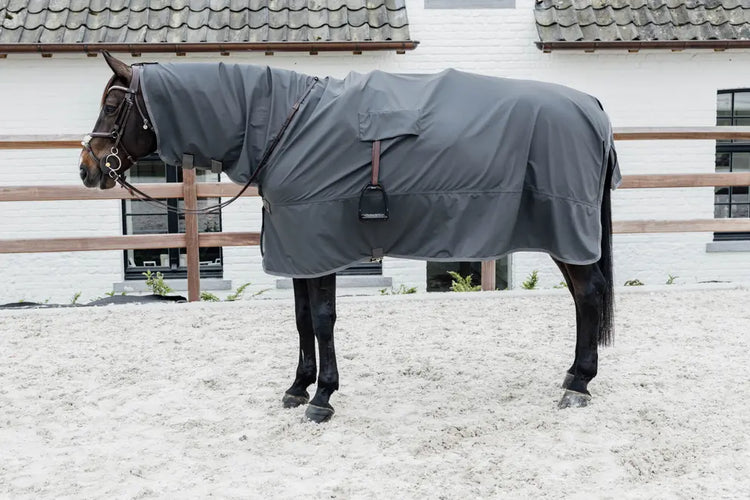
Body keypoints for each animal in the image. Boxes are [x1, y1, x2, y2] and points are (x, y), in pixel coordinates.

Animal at [79, 52, 620, 422]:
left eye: (112, 105)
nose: (87, 169)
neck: (286, 128)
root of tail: (593, 107)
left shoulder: (318, 247)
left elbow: (322, 320)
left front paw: (322, 398)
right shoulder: (297, 250)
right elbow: (301, 320)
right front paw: (297, 387)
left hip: (567, 231)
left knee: (589, 293)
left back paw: (579, 384)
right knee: (582, 297)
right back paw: (573, 376)